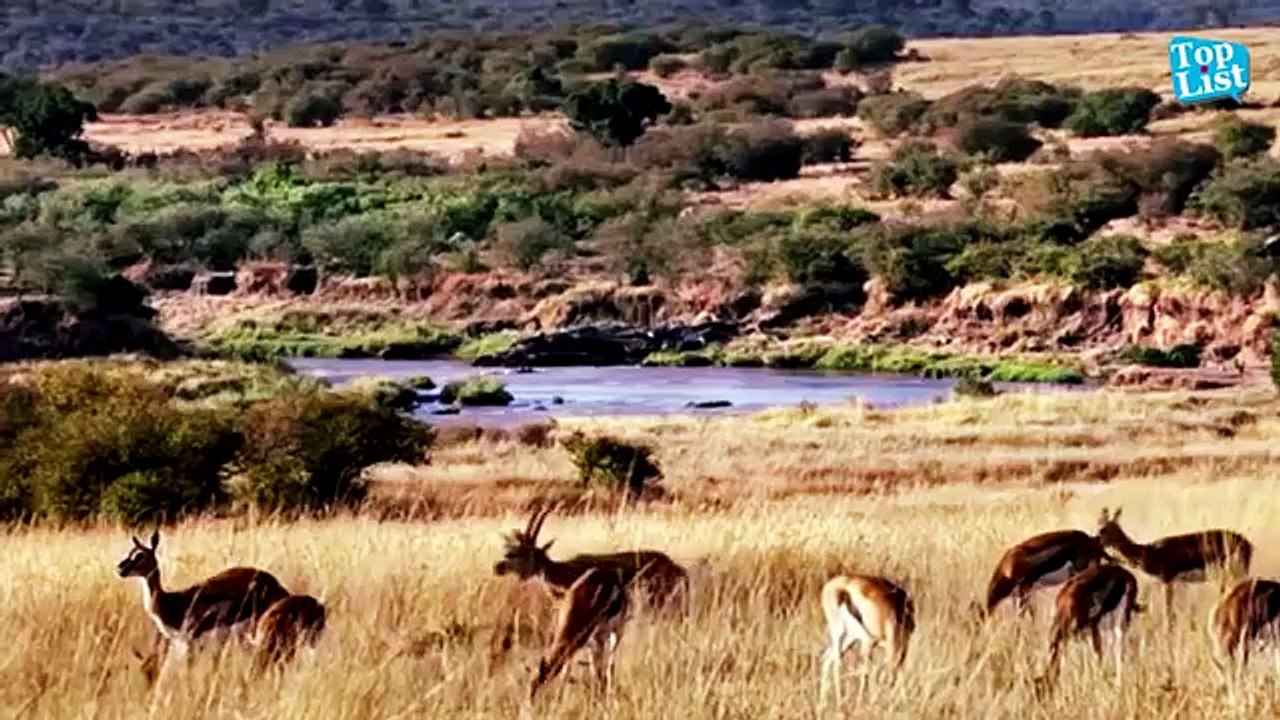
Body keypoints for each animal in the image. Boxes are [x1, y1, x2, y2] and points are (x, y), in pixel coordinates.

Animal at [116, 531, 290, 679]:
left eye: (140, 555)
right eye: (130, 552)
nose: (120, 569)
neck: (173, 602)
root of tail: (277, 585)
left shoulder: (191, 642)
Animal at [529, 567, 630, 701]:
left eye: (537, 687)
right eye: (530, 685)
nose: (529, 703)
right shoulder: (585, 643)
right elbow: (568, 672)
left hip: (615, 633)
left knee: (610, 665)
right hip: (596, 640)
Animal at [818, 574, 915, 706]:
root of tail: (843, 586)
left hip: (846, 636)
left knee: (829, 658)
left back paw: (825, 704)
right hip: (860, 637)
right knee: (853, 666)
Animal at [1097, 507, 1252, 624]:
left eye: (1103, 529)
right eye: (1098, 525)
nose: (1096, 542)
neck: (1149, 552)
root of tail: (1248, 544)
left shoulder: (1167, 580)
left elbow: (1168, 612)